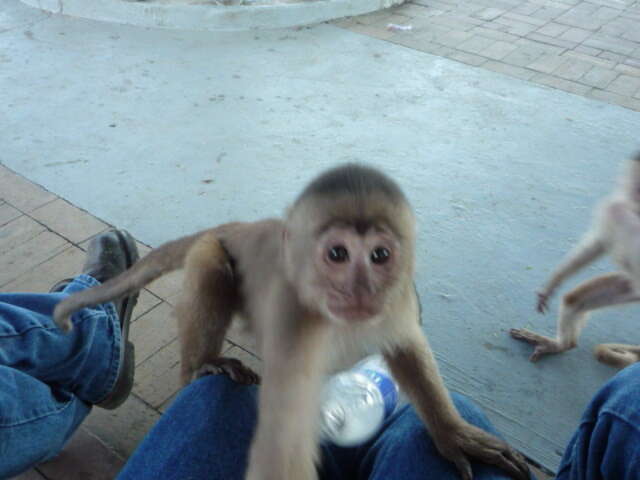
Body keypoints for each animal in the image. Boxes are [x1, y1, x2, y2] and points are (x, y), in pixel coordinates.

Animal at [55, 163, 528, 478]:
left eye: (379, 256)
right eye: (337, 254)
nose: (359, 290)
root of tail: (242, 226)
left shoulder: (398, 299)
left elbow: (406, 347)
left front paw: (453, 434)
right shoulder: (292, 315)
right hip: (215, 249)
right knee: (211, 265)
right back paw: (201, 365)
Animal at [510, 154, 640, 368]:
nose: (635, 195)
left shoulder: (619, 210)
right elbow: (598, 244)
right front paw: (552, 284)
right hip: (631, 288)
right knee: (574, 299)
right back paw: (561, 345)